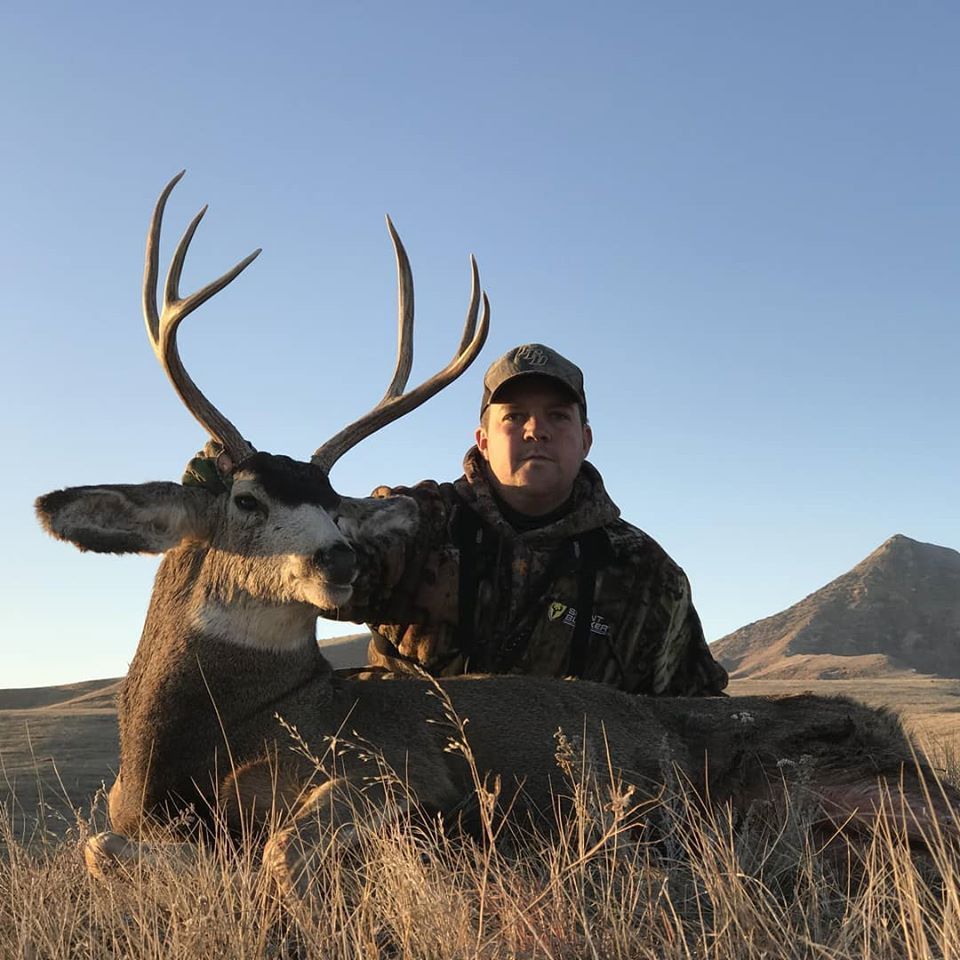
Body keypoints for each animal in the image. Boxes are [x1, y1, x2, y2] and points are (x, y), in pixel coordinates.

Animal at [36, 174, 956, 897]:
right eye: (247, 499)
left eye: (337, 507)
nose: (339, 558)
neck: (197, 744)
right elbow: (97, 846)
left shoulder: (392, 763)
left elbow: (275, 853)